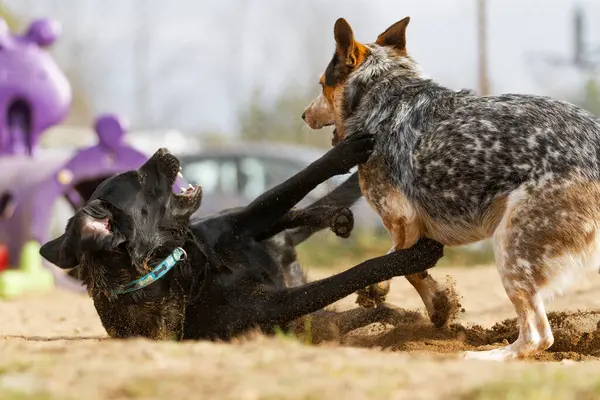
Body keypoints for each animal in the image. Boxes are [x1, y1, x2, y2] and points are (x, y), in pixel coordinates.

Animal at [38, 134, 440, 340]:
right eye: (139, 178)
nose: (164, 150)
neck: (176, 267)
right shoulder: (278, 305)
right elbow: (355, 272)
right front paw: (416, 258)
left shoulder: (241, 223)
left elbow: (297, 181)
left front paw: (349, 149)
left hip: (235, 220)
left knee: (290, 213)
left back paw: (333, 216)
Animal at [304, 15, 600, 360]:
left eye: (321, 84)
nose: (304, 114)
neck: (387, 96)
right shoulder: (413, 229)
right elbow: (404, 267)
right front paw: (432, 302)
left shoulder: (402, 220)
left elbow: (396, 265)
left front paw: (407, 296)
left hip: (511, 246)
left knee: (537, 337)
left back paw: (487, 356)